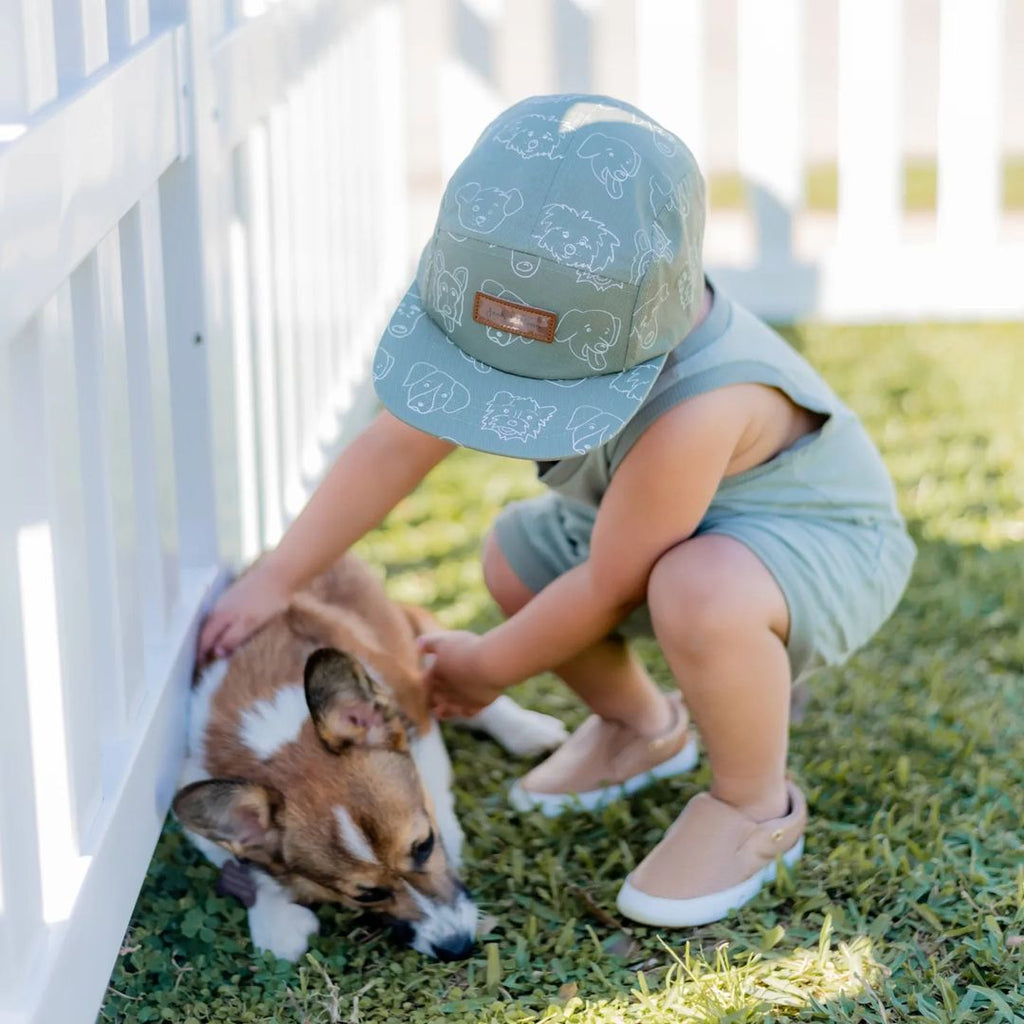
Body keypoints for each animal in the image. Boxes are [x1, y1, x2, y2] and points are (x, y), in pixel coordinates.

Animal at [171, 552, 565, 958]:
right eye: (368, 894)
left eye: (424, 846)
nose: (456, 947)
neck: (276, 730)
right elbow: (243, 863)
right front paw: (275, 921)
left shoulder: (413, 706)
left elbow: (431, 779)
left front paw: (452, 839)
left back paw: (527, 730)